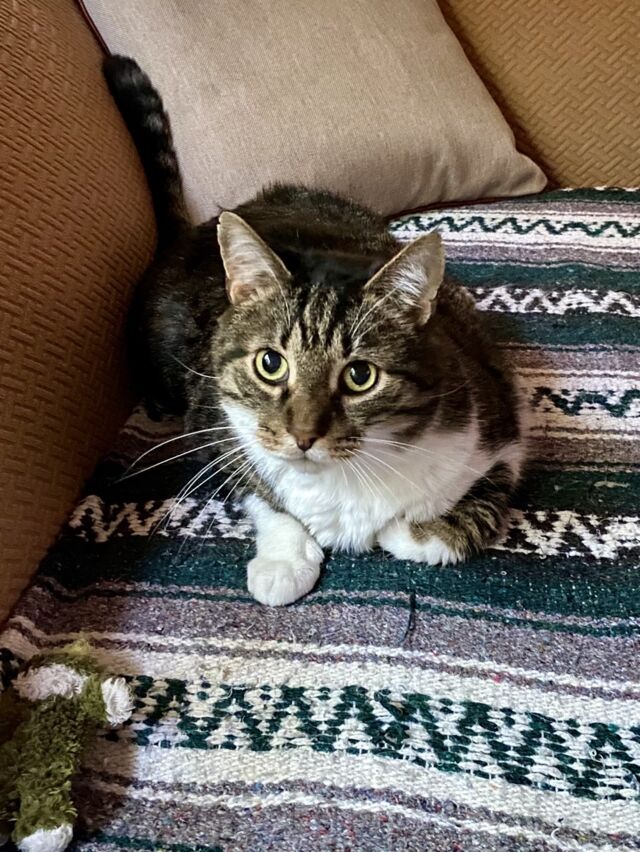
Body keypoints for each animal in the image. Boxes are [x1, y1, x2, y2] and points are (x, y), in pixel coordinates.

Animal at [104, 56, 526, 607]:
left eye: (360, 375)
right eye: (270, 363)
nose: (302, 436)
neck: (348, 481)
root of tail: (191, 232)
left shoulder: (503, 423)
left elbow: (473, 509)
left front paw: (408, 531)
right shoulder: (215, 428)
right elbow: (263, 494)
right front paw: (283, 562)